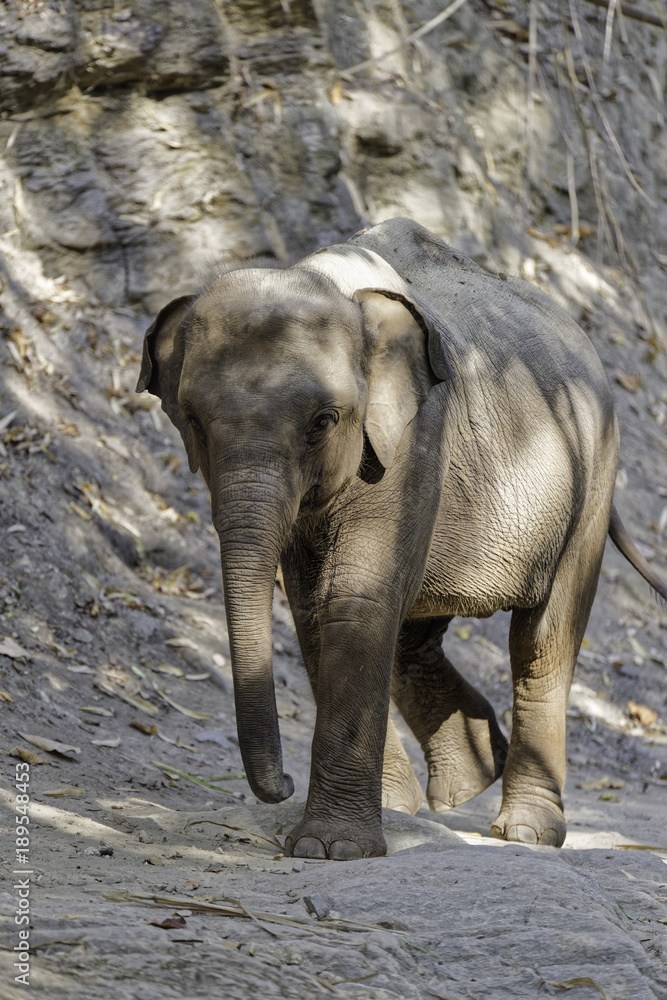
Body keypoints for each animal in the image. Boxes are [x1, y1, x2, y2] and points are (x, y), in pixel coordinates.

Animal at [137, 217, 667, 860]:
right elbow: (316, 609)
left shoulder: (414, 437)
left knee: (543, 641)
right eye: (192, 420)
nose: (281, 782)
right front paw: (371, 822)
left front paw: (331, 849)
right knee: (415, 639)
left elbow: (355, 599)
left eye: (323, 422)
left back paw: (527, 833)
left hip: (592, 477)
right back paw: (469, 780)